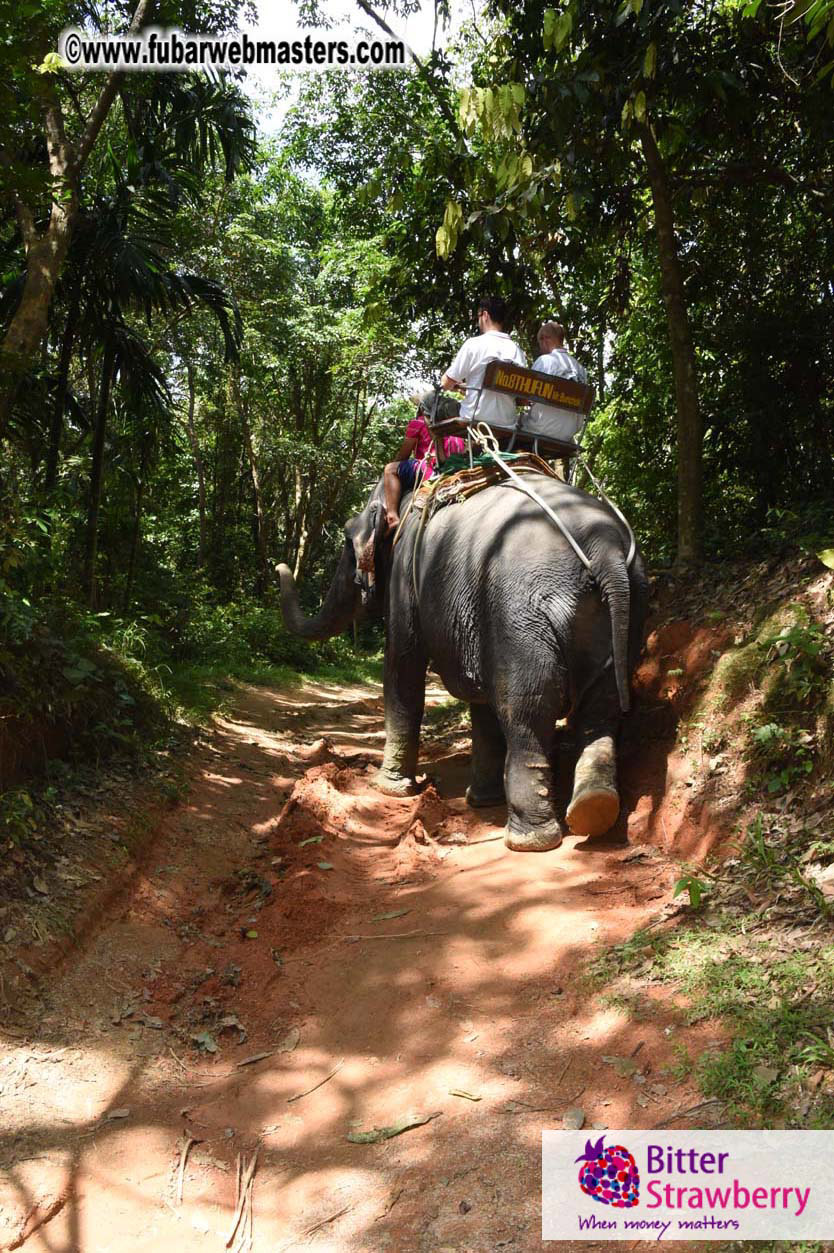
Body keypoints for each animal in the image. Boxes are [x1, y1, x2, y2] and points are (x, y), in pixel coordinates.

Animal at [278, 467, 648, 852]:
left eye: (347, 542)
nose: (280, 567)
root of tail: (604, 548)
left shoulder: (405, 582)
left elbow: (402, 669)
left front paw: (389, 789)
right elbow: (480, 699)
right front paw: (480, 800)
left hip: (521, 615)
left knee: (527, 709)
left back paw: (528, 840)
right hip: (627, 613)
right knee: (600, 708)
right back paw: (594, 809)